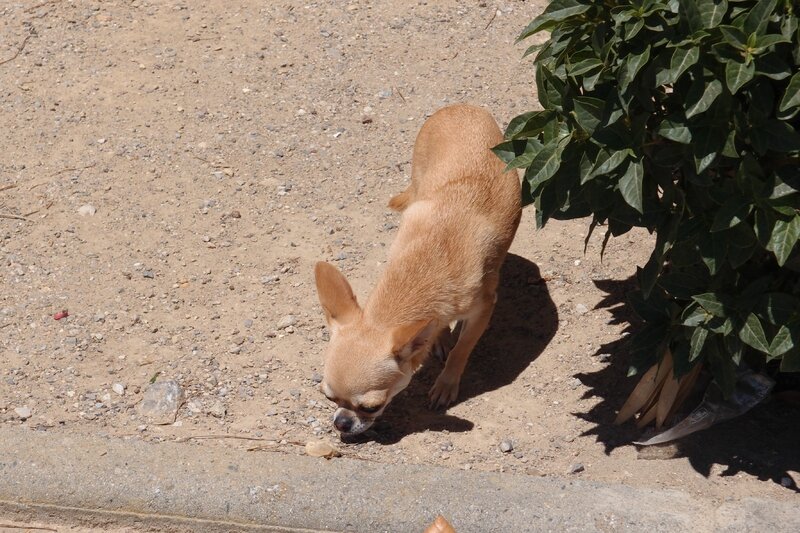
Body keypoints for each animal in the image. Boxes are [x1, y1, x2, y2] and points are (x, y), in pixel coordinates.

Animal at [316, 104, 520, 436]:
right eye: (328, 397)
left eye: (371, 407)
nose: (341, 423)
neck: (427, 264)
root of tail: (460, 107)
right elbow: (437, 328)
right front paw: (439, 338)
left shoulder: (484, 306)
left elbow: (463, 348)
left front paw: (447, 382)